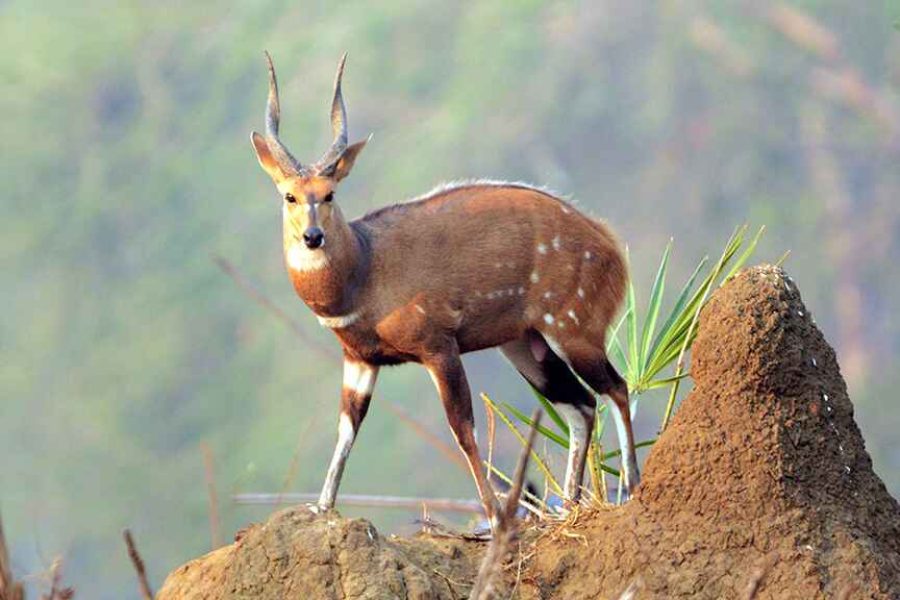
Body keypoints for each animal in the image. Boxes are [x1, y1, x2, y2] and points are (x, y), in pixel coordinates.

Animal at [250, 52, 636, 520]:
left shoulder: (438, 345)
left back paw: (631, 485)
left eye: (329, 194)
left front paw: (493, 512)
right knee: (581, 404)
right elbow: (346, 428)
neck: (365, 271)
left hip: (573, 328)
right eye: (289, 195)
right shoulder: (360, 359)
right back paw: (567, 507)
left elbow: (462, 427)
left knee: (615, 387)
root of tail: (611, 247)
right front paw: (321, 507)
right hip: (526, 345)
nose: (312, 237)